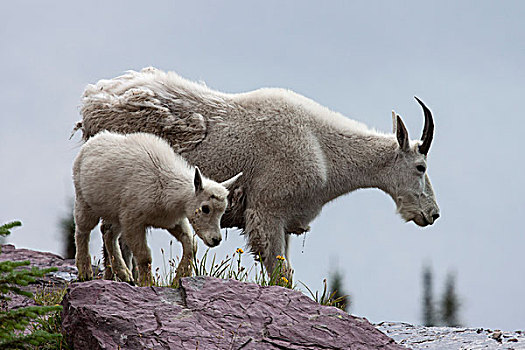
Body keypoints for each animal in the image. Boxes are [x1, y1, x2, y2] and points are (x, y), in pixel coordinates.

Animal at [73, 131, 242, 284]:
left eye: (222, 211)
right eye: (205, 208)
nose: (216, 239)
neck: (165, 185)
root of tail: (91, 142)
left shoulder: (172, 220)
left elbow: (190, 245)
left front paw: (179, 278)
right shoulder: (132, 221)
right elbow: (144, 256)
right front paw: (147, 283)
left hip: (114, 213)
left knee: (107, 232)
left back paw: (123, 274)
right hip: (84, 201)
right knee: (82, 231)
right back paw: (85, 271)